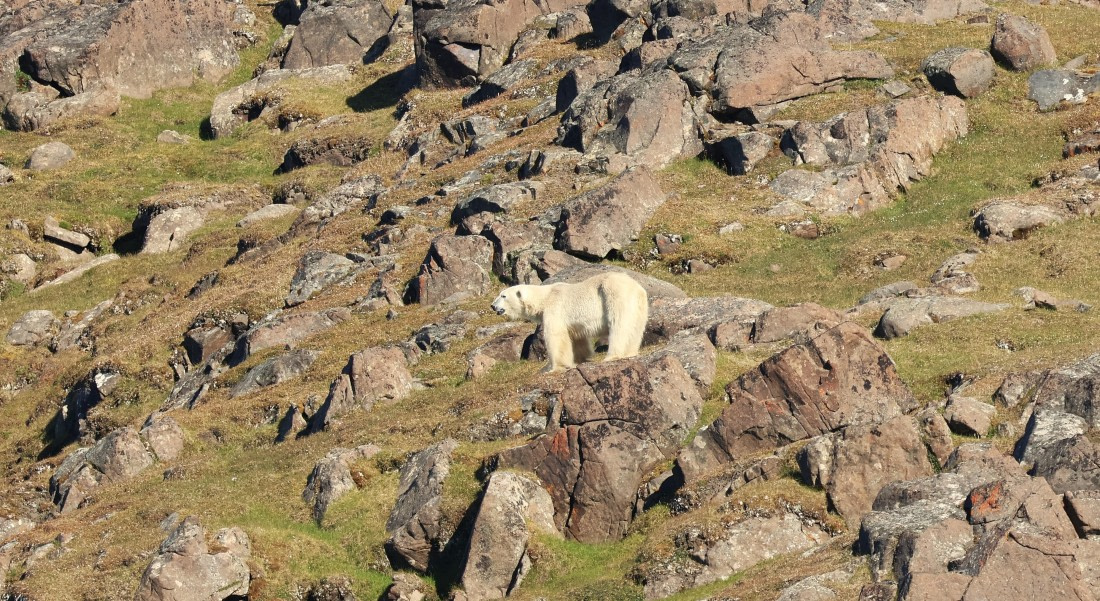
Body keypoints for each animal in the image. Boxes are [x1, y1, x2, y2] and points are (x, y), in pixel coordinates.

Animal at [490, 272, 649, 372]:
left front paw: (555, 368)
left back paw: (612, 356)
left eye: (503, 296)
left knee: (619, 325)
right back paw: (630, 352)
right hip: (640, 306)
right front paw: (581, 359)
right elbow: (577, 338)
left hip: (613, 294)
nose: (492, 306)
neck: (544, 297)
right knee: (635, 328)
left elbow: (555, 336)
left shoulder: (554, 308)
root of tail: (637, 288)